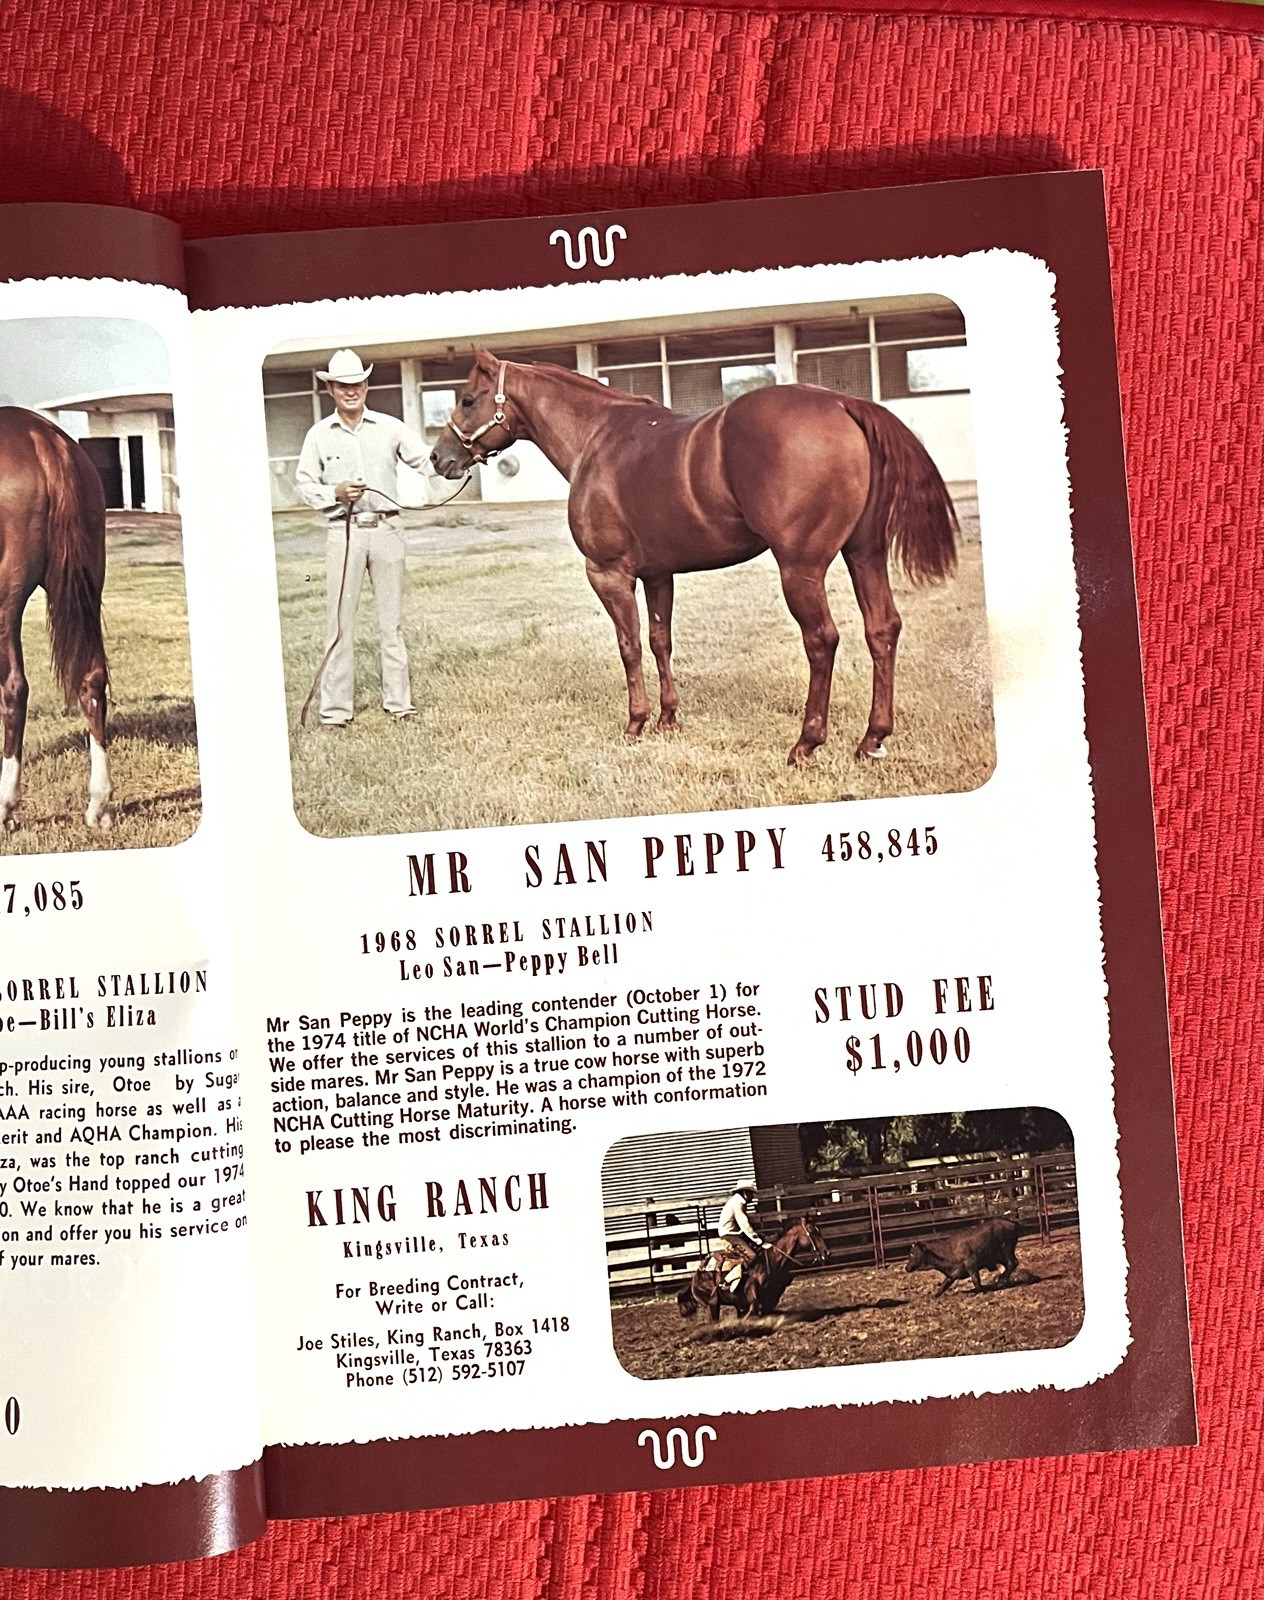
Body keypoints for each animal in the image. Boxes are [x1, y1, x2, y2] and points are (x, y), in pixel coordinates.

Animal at [0, 408, 111, 832]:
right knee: (93, 680)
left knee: (14, 689)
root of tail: (40, 437)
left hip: (6, 599)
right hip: (90, 583)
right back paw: (98, 804)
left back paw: (6, 804)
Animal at [430, 351, 958, 765]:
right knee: (882, 630)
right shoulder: (658, 574)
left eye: (468, 399)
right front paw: (668, 718)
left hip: (801, 568)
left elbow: (629, 646)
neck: (596, 439)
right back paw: (871, 740)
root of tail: (843, 403)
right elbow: (660, 641)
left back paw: (805, 744)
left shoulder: (608, 574)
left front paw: (635, 723)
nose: (439, 458)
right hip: (864, 554)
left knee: (822, 641)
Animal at [677, 1213, 828, 1322]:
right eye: (813, 1232)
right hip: (713, 1302)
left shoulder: (770, 1297)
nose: (826, 1252)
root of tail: (695, 1278)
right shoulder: (751, 1290)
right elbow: (754, 1308)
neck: (773, 1258)